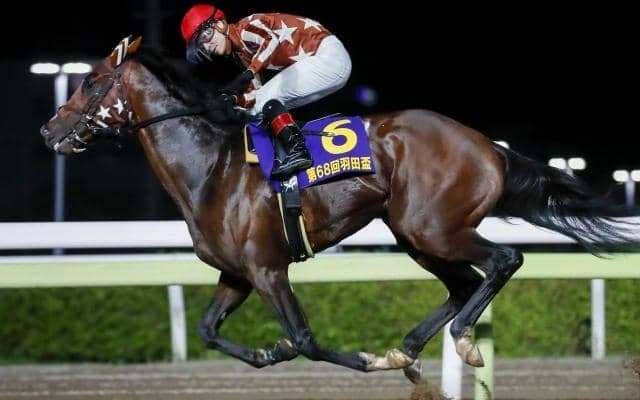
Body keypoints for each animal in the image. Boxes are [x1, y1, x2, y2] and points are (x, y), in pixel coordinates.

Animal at [39, 36, 637, 382]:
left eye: (91, 81)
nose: (49, 130)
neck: (209, 169)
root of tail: (489, 146)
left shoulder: (266, 268)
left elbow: (305, 340)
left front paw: (356, 359)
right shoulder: (237, 273)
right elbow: (209, 330)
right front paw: (266, 354)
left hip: (433, 228)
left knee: (503, 260)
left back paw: (459, 342)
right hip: (413, 233)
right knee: (465, 282)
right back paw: (407, 350)